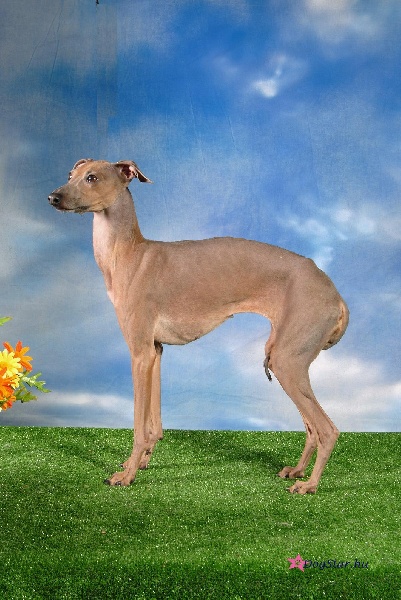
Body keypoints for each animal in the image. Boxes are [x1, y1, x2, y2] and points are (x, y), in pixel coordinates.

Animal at [49, 159, 349, 493]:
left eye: (92, 178)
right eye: (70, 175)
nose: (53, 197)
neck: (130, 255)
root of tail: (335, 295)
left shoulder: (139, 353)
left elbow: (139, 425)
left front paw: (127, 475)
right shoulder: (155, 351)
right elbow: (154, 424)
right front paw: (139, 461)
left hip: (288, 361)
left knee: (328, 430)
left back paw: (309, 485)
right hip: (281, 357)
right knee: (312, 429)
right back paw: (296, 471)